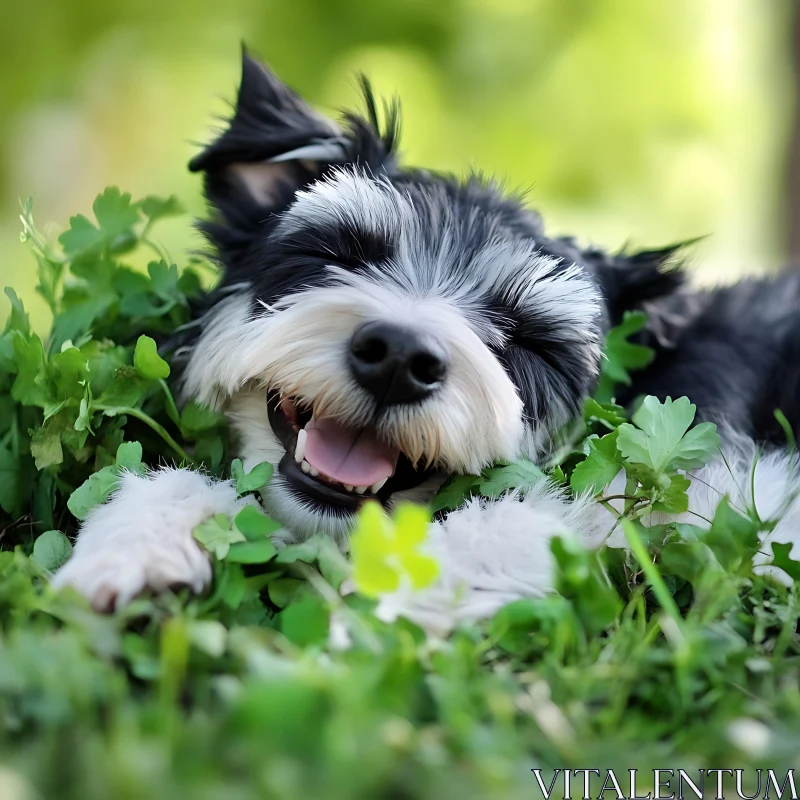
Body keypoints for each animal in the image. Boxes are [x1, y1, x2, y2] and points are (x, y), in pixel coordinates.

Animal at [51, 53, 800, 636]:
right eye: (340, 253)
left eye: (524, 340)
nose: (399, 359)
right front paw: (138, 543)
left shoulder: (733, 499)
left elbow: (534, 520)